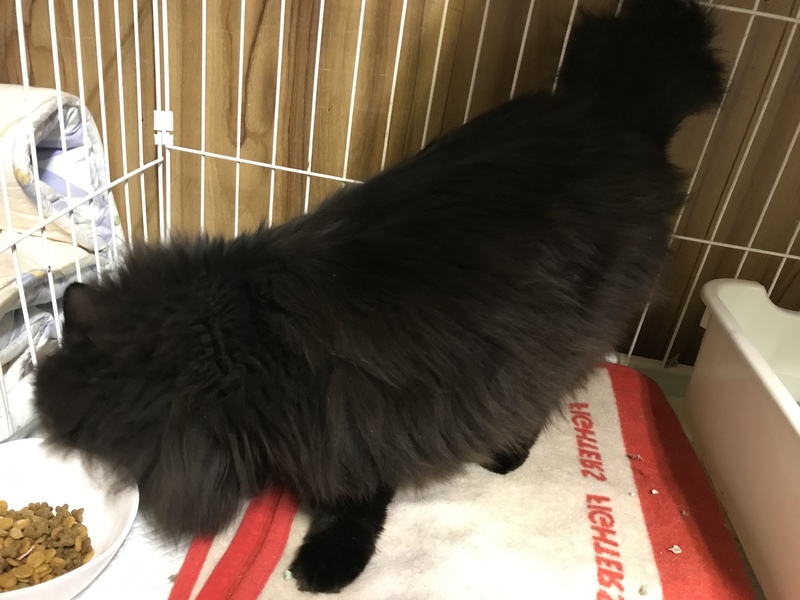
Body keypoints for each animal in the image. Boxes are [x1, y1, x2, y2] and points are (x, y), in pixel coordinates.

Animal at [33, 0, 724, 593]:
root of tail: (615, 114)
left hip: (558, 336)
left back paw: (505, 456)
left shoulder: (349, 423)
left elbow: (356, 500)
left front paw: (326, 566)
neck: (236, 339)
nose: (43, 411)